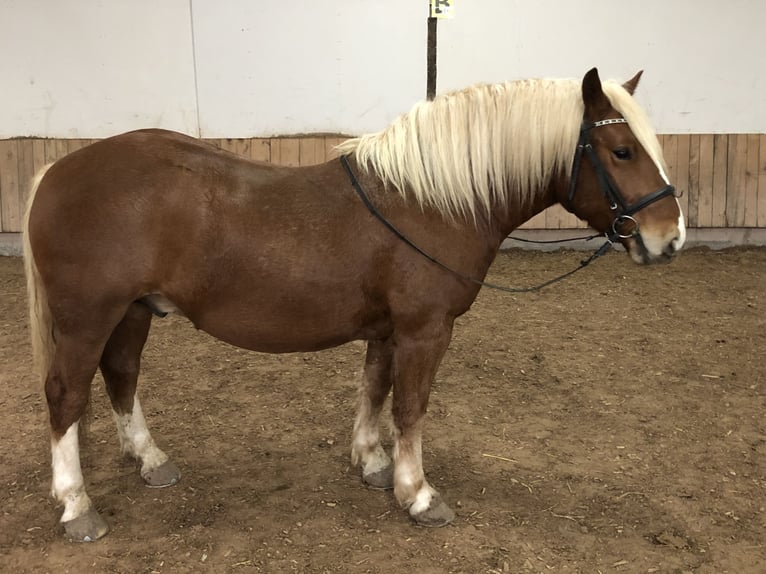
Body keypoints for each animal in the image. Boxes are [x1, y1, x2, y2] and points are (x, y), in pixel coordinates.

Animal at [23, 67, 685, 541]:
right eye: (622, 151)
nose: (670, 237)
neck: (430, 200)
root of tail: (57, 168)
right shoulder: (425, 330)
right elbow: (411, 407)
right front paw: (417, 492)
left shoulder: (387, 330)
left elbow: (374, 389)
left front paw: (371, 463)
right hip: (88, 319)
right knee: (66, 395)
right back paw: (76, 505)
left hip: (132, 311)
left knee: (122, 374)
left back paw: (149, 458)